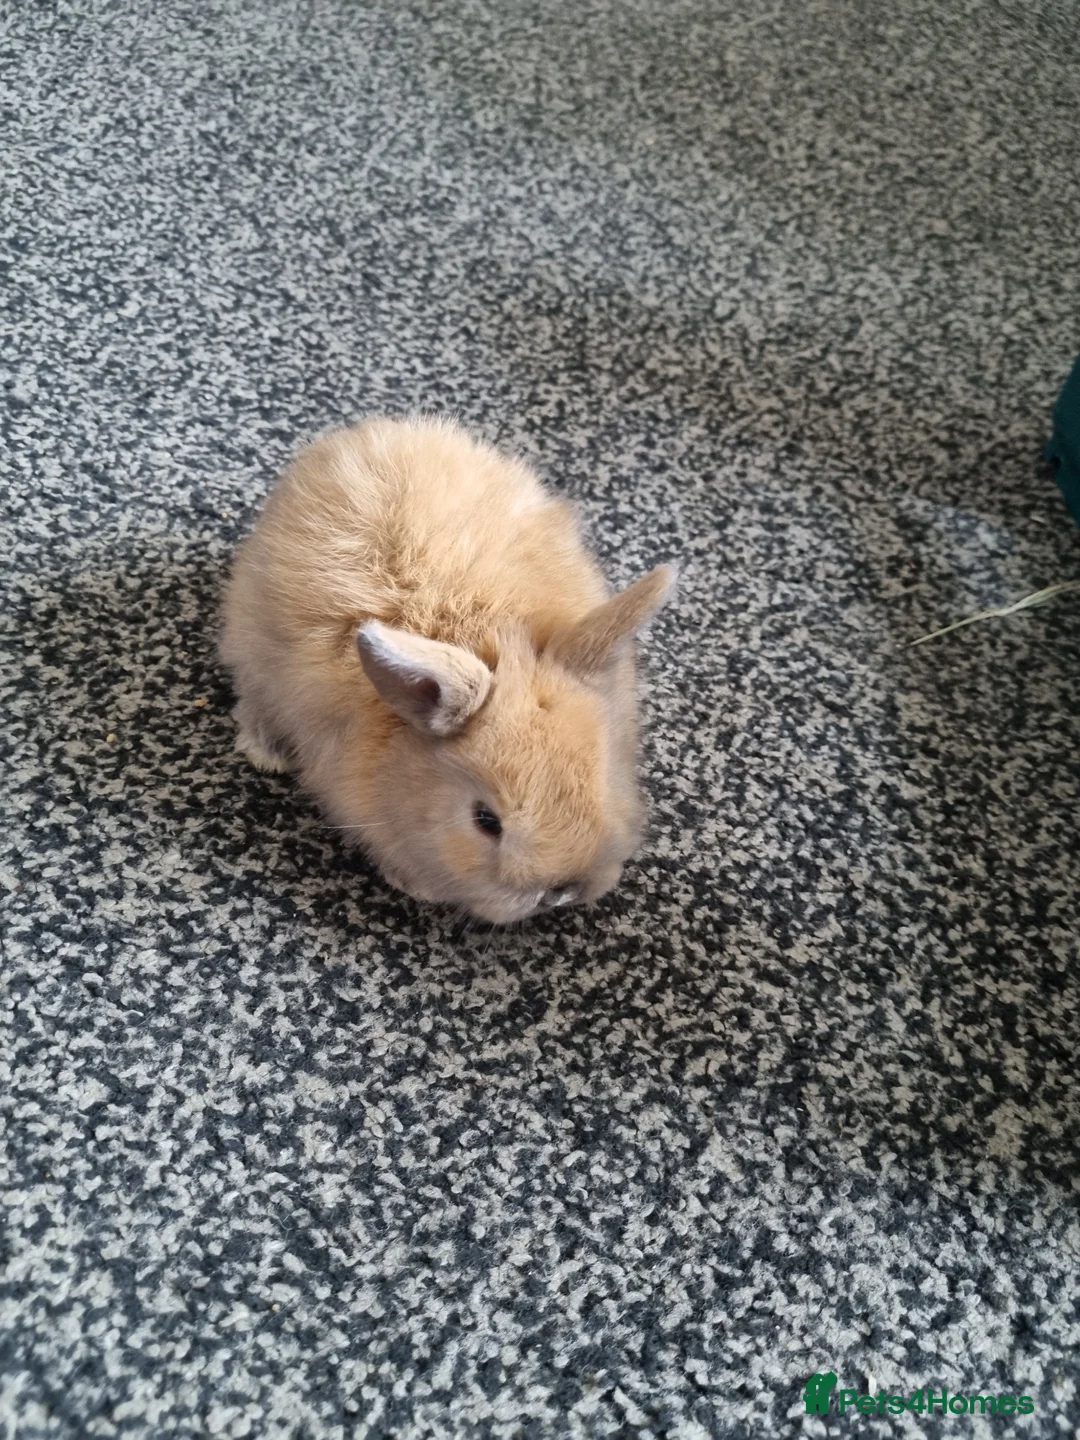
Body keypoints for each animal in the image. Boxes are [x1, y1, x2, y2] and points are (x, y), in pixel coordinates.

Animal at [219, 416, 675, 924]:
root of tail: (370, 431)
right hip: (249, 637)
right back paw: (266, 752)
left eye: (603, 781)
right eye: (485, 821)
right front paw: (416, 886)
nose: (562, 891)